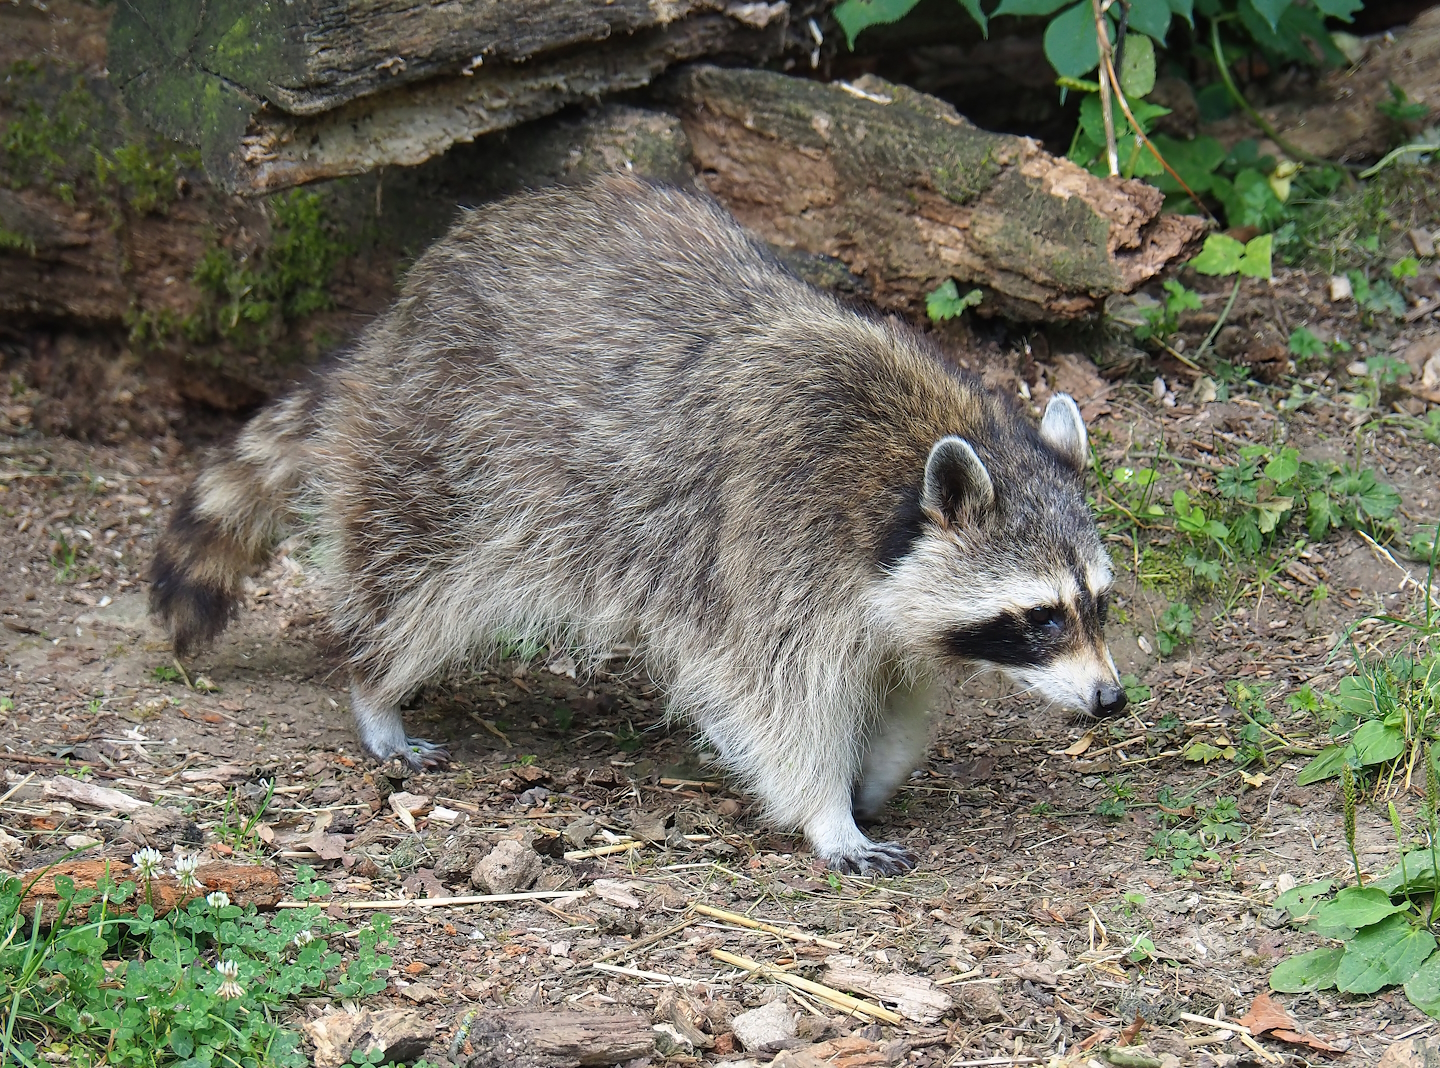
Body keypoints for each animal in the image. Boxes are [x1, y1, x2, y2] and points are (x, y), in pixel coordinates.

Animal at [150, 175, 1124, 874]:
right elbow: (779, 698)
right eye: (1042, 617)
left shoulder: (887, 602)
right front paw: (826, 810)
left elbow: (899, 686)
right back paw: (375, 685)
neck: (895, 464)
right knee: (409, 578)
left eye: (1099, 604)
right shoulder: (775, 539)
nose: (1111, 701)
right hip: (450, 454)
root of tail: (406, 307)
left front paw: (877, 769)